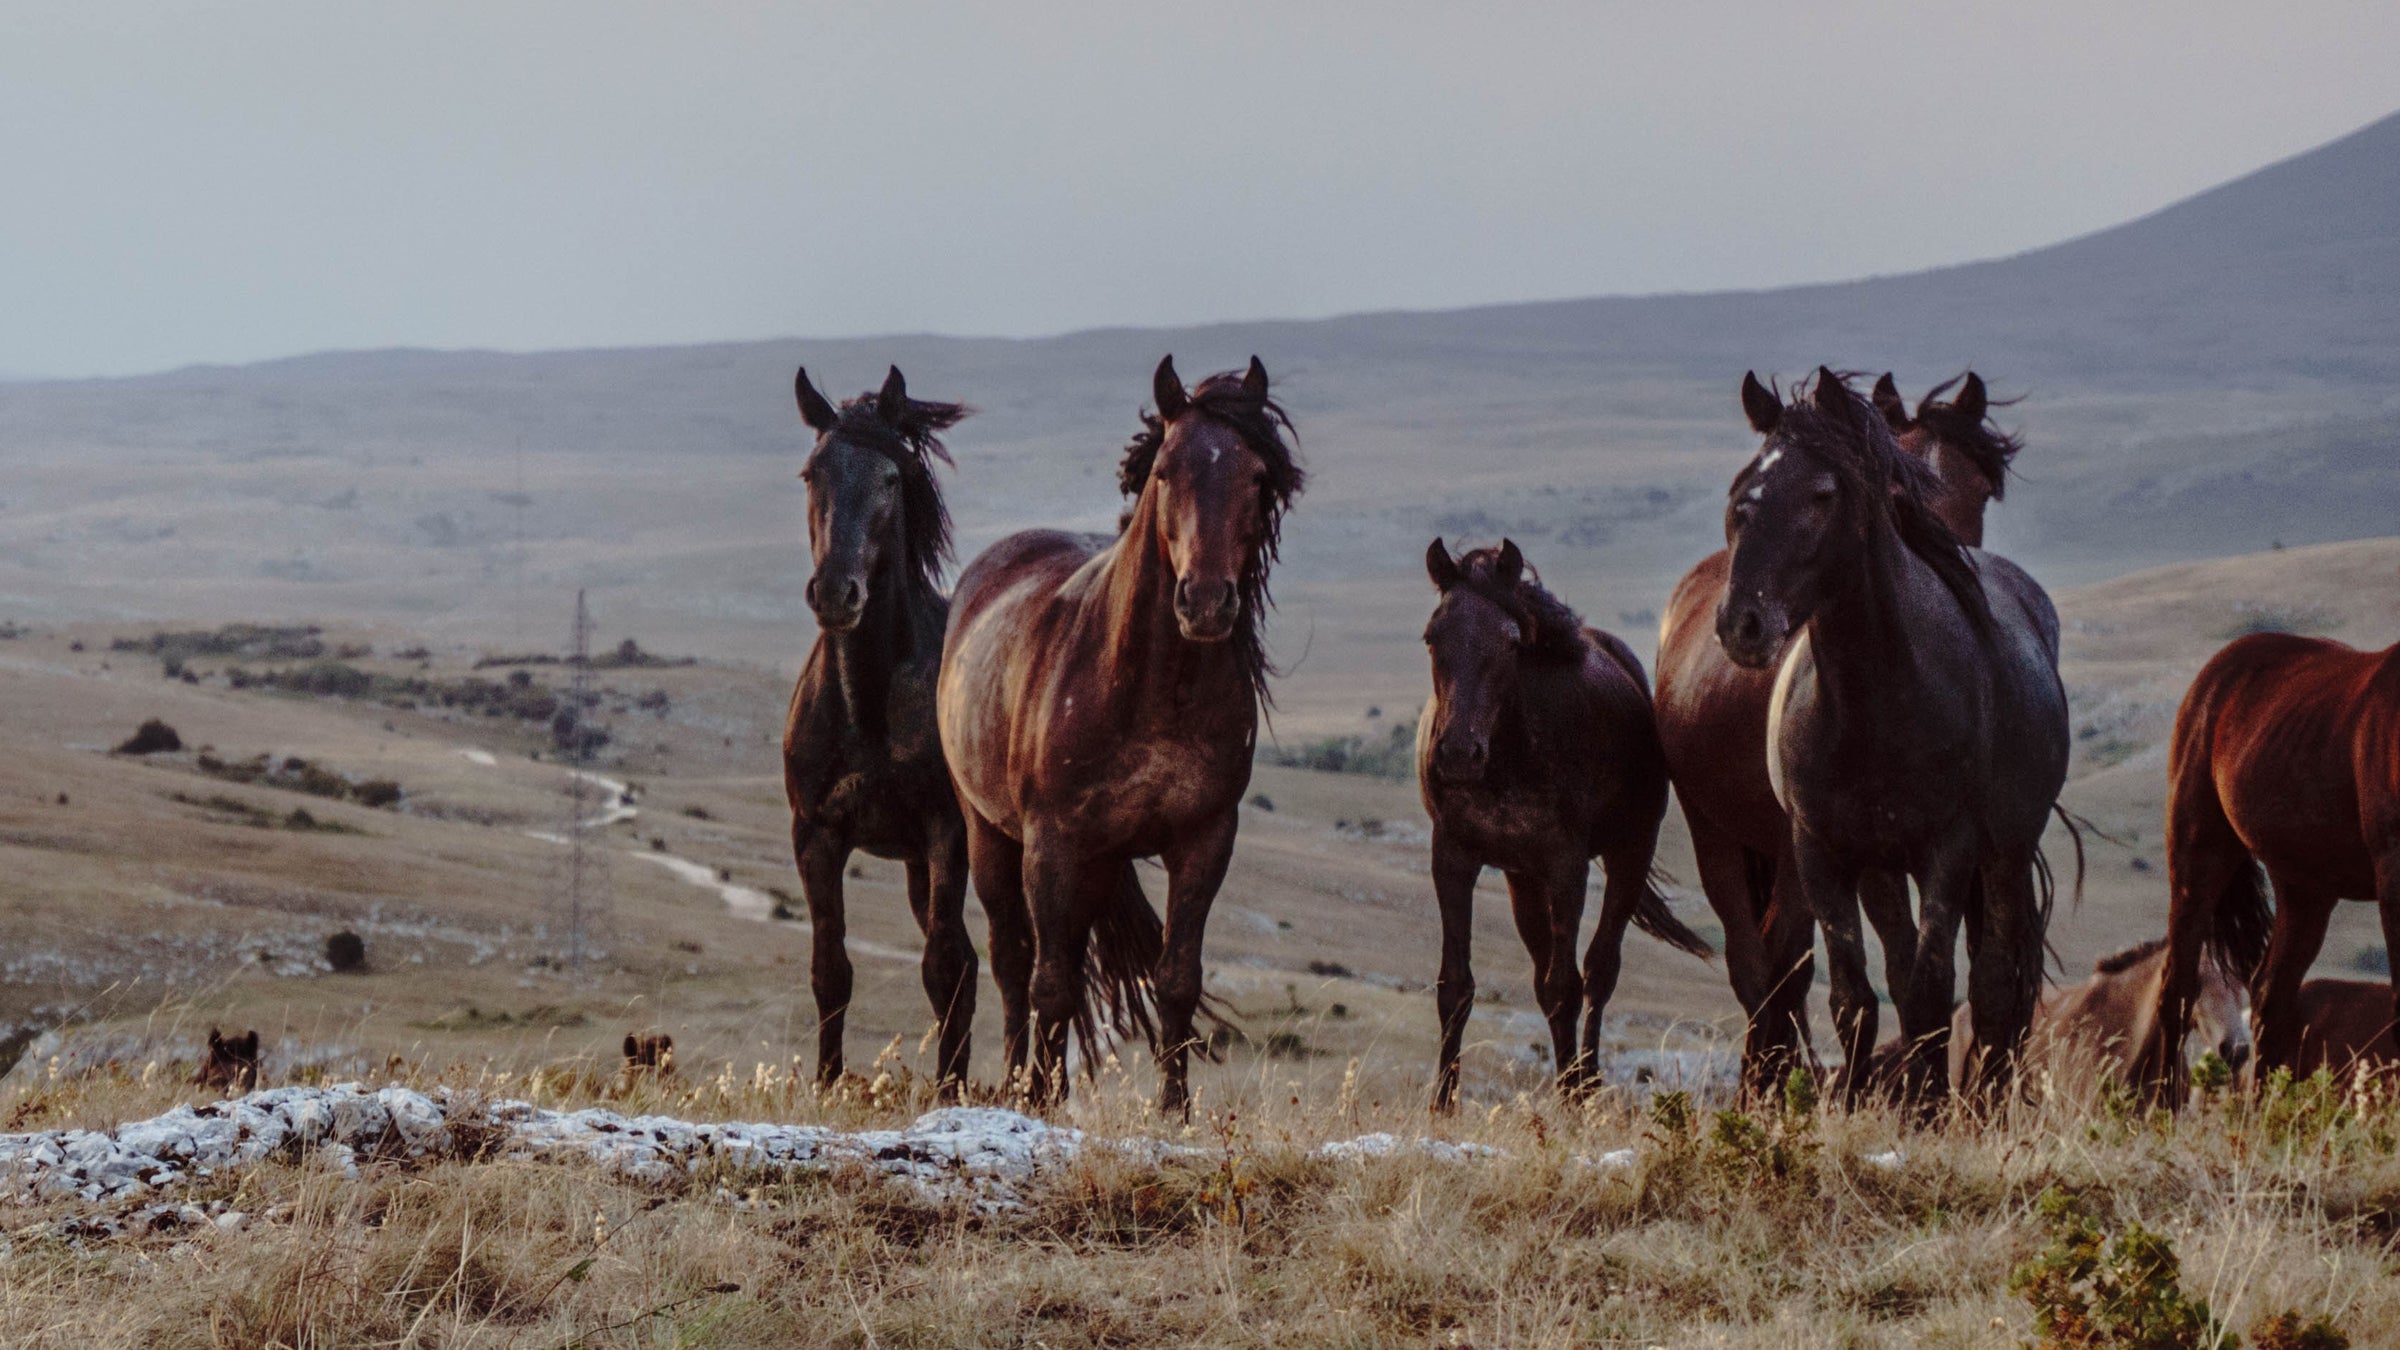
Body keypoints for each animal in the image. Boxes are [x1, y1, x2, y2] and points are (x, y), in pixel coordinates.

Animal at [782, 362, 979, 1085]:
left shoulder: (947, 831)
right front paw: (826, 1083)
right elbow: (830, 970)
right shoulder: (816, 835)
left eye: (892, 478)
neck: (867, 707)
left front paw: (951, 1095)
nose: (837, 593)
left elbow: (942, 966)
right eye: (812, 473)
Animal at [940, 353, 1315, 1109]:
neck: (1149, 691)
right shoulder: (1051, 844)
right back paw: (1020, 1078)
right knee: (1012, 959)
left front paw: (1175, 1109)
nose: (1206, 601)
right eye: (1165, 470)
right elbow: (1049, 982)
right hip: (989, 833)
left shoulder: (1204, 839)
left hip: (1098, 862)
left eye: (1256, 476)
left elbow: (1176, 978)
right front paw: (1039, 1100)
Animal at [1411, 535, 1718, 1104]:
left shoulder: (1566, 866)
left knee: (1598, 972)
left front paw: (1573, 1099)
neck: (1510, 753)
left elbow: (1565, 986)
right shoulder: (1454, 859)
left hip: (1627, 856)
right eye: (1431, 636)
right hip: (1522, 879)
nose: (1459, 753)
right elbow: (1456, 985)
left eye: (1511, 642)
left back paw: (1588, 1083)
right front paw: (1442, 1103)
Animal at [2140, 624, 2400, 1085]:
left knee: (2269, 996)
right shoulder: (2393, 876)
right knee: (2178, 990)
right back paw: (2160, 1102)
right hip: (2198, 857)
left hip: (2304, 889)